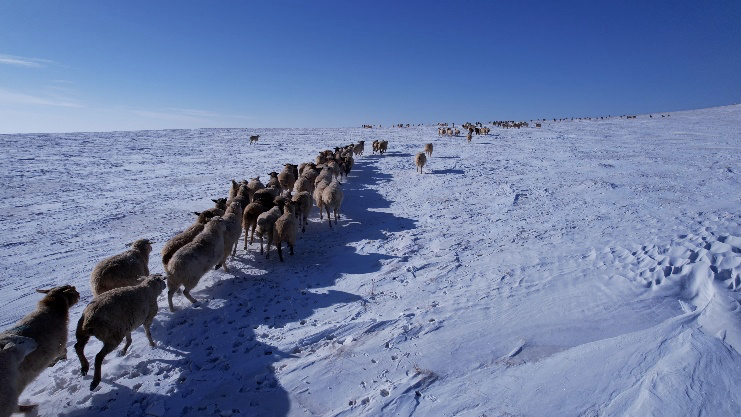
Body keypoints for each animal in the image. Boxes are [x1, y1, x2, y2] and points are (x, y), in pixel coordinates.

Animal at [0, 284, 79, 412]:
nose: (79, 294)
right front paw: (57, 361)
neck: (50, 308)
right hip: (10, 392)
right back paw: (30, 407)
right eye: (71, 289)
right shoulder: (59, 344)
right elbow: (63, 352)